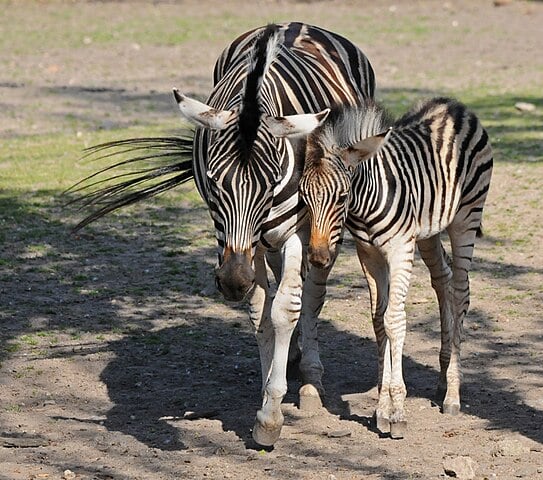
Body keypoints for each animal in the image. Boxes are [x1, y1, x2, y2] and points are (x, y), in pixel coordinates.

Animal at [270, 97, 496, 438]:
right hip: (428, 231)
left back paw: (453, 395)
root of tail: (451, 105)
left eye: (342, 197)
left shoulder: (400, 249)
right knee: (442, 279)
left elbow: (394, 320)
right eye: (305, 198)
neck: (365, 205)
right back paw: (443, 376)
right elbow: (378, 320)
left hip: (466, 218)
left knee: (460, 293)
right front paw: (381, 409)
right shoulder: (370, 253)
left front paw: (397, 411)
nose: (319, 258)